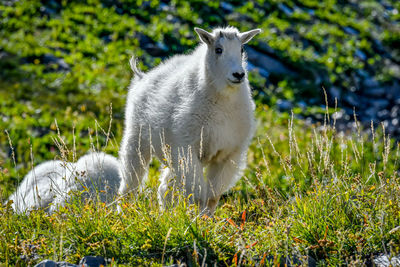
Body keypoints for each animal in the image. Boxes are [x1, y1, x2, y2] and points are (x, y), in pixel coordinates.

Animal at [119, 26, 260, 216]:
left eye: (241, 49)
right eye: (218, 49)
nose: (238, 74)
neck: (222, 100)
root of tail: (142, 77)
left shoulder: (228, 154)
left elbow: (212, 197)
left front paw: (206, 220)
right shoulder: (188, 148)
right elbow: (198, 194)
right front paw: (197, 220)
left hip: (171, 156)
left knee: (164, 188)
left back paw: (166, 214)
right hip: (137, 138)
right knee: (130, 181)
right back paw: (124, 212)